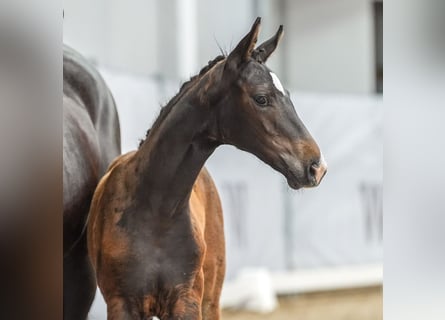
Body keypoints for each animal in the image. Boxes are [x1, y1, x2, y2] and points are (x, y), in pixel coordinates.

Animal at [87, 18, 326, 320]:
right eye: (261, 98)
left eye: (289, 96)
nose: (316, 166)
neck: (156, 211)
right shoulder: (122, 304)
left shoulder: (187, 301)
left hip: (211, 298)